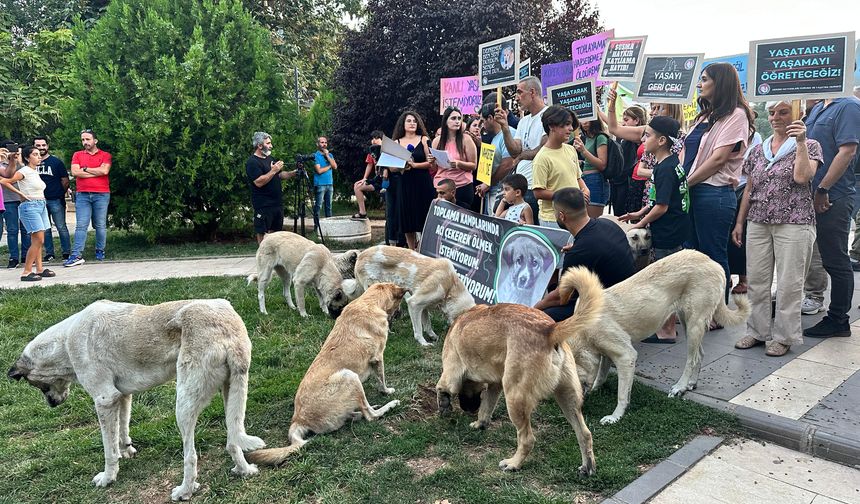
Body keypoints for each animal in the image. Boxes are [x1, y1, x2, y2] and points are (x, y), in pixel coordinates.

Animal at [6, 300, 266, 500]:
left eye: (36, 386)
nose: (52, 405)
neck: (65, 342)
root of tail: (226, 327)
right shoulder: (121, 396)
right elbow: (122, 430)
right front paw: (126, 450)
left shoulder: (104, 399)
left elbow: (108, 450)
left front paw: (108, 477)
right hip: (233, 390)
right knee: (232, 439)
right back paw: (244, 470)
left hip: (183, 405)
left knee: (191, 456)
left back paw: (185, 490)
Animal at [245, 282, 406, 466]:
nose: (400, 314)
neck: (369, 302)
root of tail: (298, 419)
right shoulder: (378, 358)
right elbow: (382, 380)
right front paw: (387, 392)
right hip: (349, 376)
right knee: (370, 415)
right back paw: (388, 405)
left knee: (357, 413)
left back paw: (362, 410)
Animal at [436, 266, 604, 474]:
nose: (469, 409)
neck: (463, 313)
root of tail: (550, 329)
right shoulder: (495, 385)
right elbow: (486, 407)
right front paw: (480, 423)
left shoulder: (451, 372)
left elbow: (441, 387)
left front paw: (444, 404)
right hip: (568, 398)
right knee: (585, 434)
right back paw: (587, 467)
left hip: (515, 399)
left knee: (527, 439)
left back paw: (513, 463)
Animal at [568, 250, 748, 424]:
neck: (583, 332)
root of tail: (712, 262)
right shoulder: (607, 353)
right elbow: (601, 375)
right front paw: (596, 389)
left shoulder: (626, 356)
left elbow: (622, 394)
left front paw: (615, 417)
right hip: (688, 323)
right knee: (700, 354)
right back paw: (691, 384)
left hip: (694, 324)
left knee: (692, 359)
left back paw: (680, 387)